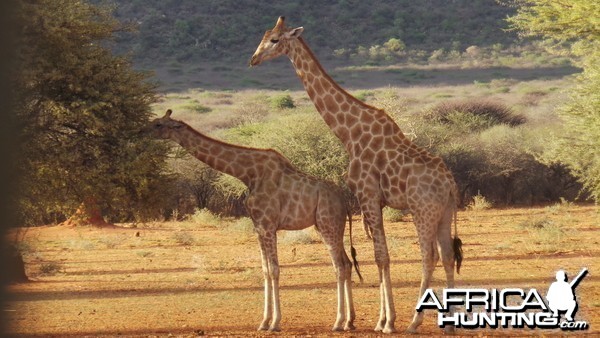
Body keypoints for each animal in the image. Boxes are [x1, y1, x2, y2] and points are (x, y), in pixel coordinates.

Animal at [152, 109, 364, 332]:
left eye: (158, 124)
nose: (143, 131)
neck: (248, 174)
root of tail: (344, 200)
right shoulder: (259, 227)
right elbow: (265, 270)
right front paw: (263, 322)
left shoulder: (268, 225)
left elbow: (274, 270)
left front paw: (275, 323)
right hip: (329, 227)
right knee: (347, 264)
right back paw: (349, 321)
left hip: (327, 224)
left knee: (339, 267)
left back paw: (338, 322)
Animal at [250, 15, 464, 332]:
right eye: (263, 37)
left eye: (275, 40)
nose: (253, 59)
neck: (348, 133)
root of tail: (450, 183)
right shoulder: (374, 200)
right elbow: (380, 255)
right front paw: (382, 319)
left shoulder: (367, 194)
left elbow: (381, 256)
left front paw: (386, 322)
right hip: (445, 211)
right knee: (448, 255)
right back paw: (448, 323)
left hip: (422, 210)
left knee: (430, 256)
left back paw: (415, 322)